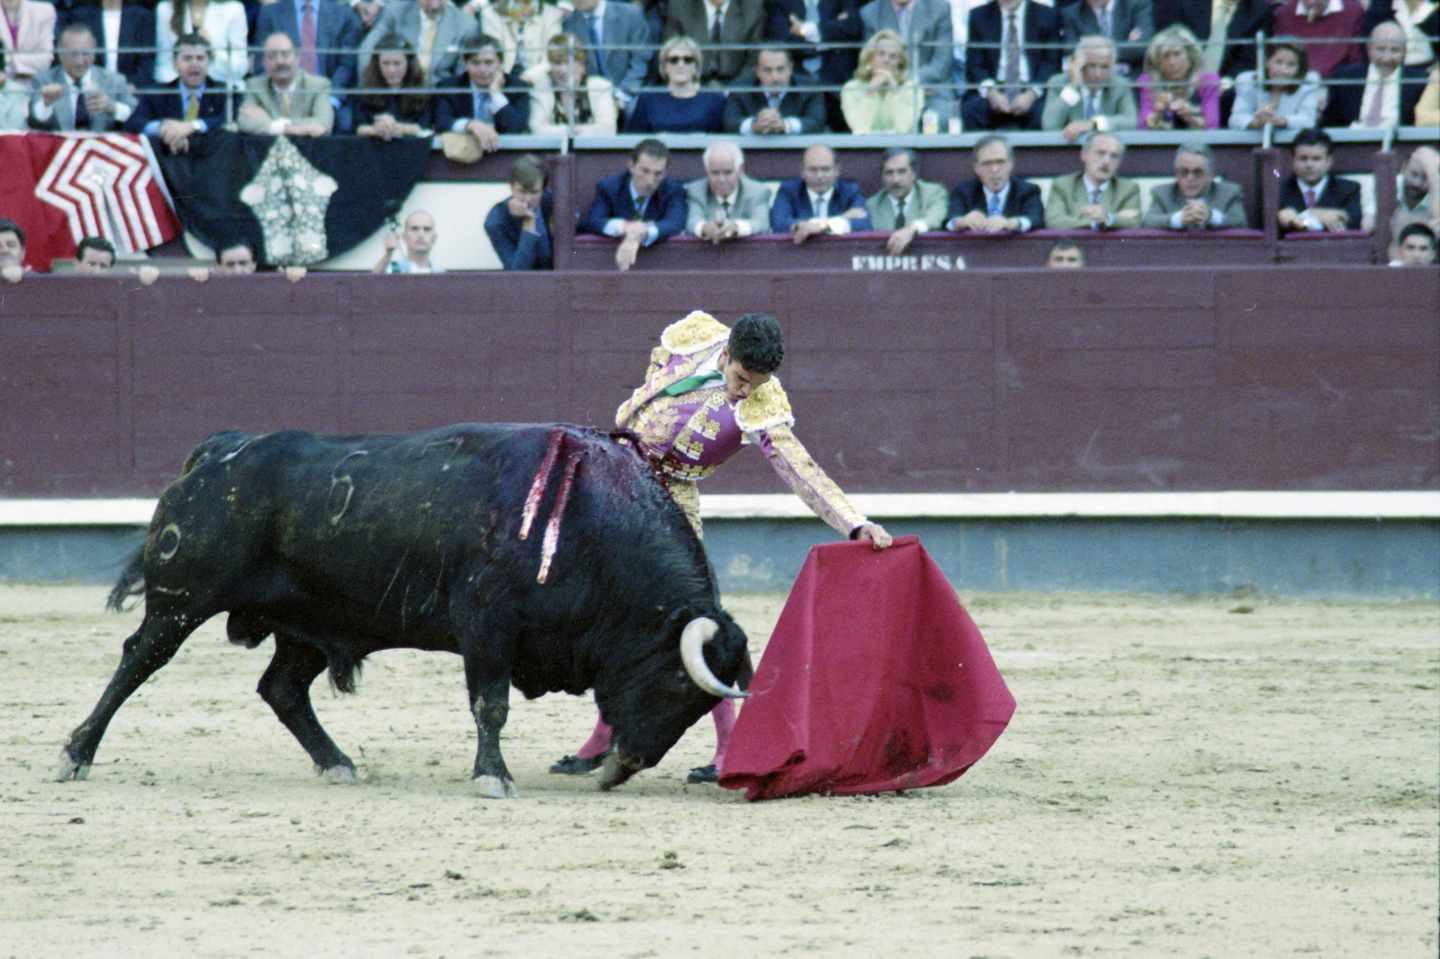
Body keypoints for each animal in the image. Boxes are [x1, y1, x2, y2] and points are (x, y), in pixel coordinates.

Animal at [56, 423, 754, 789]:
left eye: (702, 706)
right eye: (675, 684)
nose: (622, 770)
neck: (584, 521)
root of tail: (217, 452)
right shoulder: (486, 627)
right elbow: (490, 704)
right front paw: (491, 778)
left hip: (309, 625)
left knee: (282, 689)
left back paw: (337, 763)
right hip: (182, 600)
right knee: (137, 661)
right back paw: (76, 755)